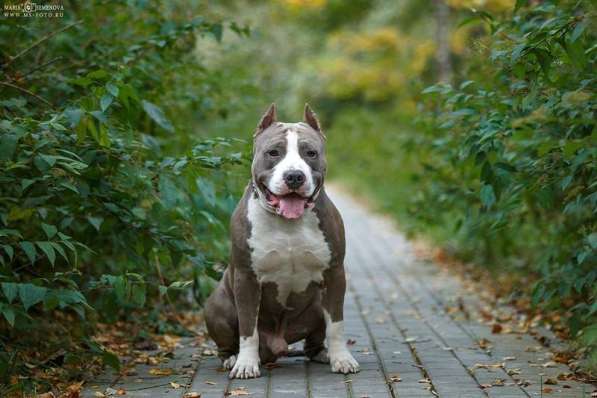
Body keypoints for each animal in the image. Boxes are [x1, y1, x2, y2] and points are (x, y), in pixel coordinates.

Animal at [204, 102, 358, 380]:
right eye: (273, 152)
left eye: (310, 153)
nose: (294, 176)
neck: (288, 224)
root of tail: (278, 346)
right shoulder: (246, 278)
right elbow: (248, 328)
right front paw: (246, 364)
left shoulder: (334, 275)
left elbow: (336, 325)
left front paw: (342, 358)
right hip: (216, 306)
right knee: (227, 341)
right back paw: (231, 358)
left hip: (317, 305)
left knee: (314, 341)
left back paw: (323, 354)